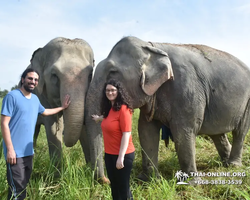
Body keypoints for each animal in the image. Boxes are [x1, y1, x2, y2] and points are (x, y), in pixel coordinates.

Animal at [26, 37, 94, 172]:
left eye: (90, 74)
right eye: (54, 75)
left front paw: (90, 172)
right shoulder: (43, 95)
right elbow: (52, 128)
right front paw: (57, 176)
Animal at [85, 36, 250, 181]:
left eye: (112, 72)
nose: (106, 180)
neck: (151, 47)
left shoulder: (186, 89)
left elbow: (183, 132)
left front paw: (191, 182)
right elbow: (146, 130)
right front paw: (148, 180)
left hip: (247, 102)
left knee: (240, 132)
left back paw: (233, 165)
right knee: (217, 133)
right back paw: (225, 163)